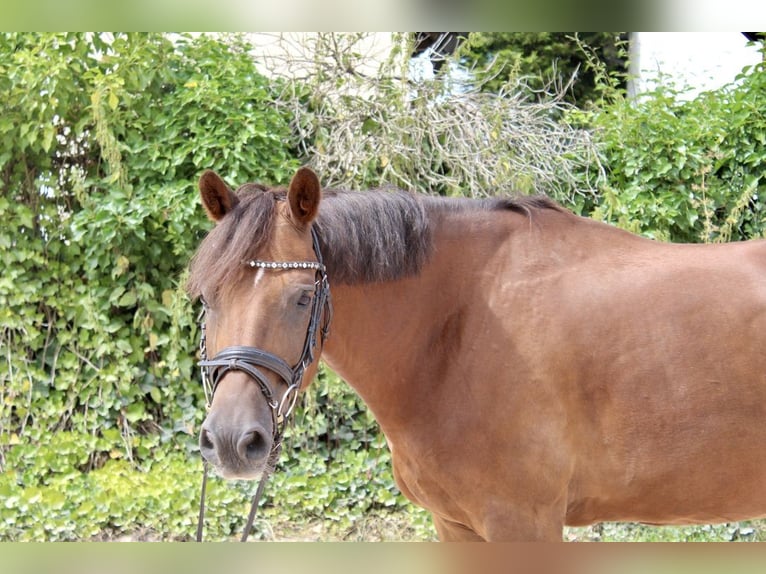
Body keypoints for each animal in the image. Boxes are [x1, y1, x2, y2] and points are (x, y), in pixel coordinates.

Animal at [188, 168, 766, 544]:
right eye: (208, 297)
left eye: (303, 297)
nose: (232, 440)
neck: (457, 330)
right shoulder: (456, 525)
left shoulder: (523, 525)